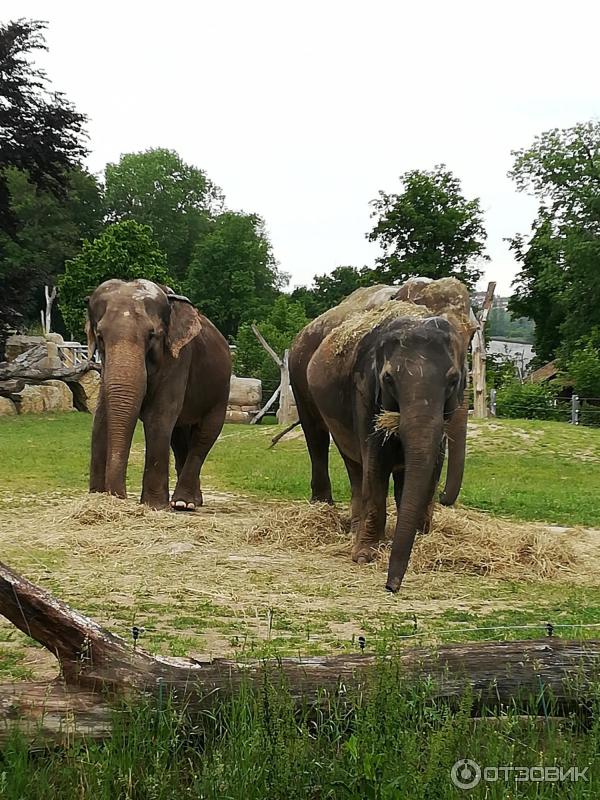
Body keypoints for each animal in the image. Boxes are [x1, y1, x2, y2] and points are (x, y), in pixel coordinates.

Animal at [85, 278, 231, 510]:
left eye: (151, 335)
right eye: (99, 336)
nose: (119, 496)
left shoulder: (179, 359)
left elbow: (158, 417)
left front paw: (154, 506)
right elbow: (101, 418)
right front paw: (96, 496)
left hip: (220, 391)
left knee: (204, 435)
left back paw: (183, 503)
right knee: (179, 438)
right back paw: (191, 501)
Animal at [288, 278, 476, 592]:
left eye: (453, 380)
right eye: (388, 379)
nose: (391, 586)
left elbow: (430, 461)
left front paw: (420, 539)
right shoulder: (364, 386)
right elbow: (376, 457)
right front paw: (364, 556)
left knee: (353, 462)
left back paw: (354, 525)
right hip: (299, 374)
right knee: (318, 437)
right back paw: (324, 509)